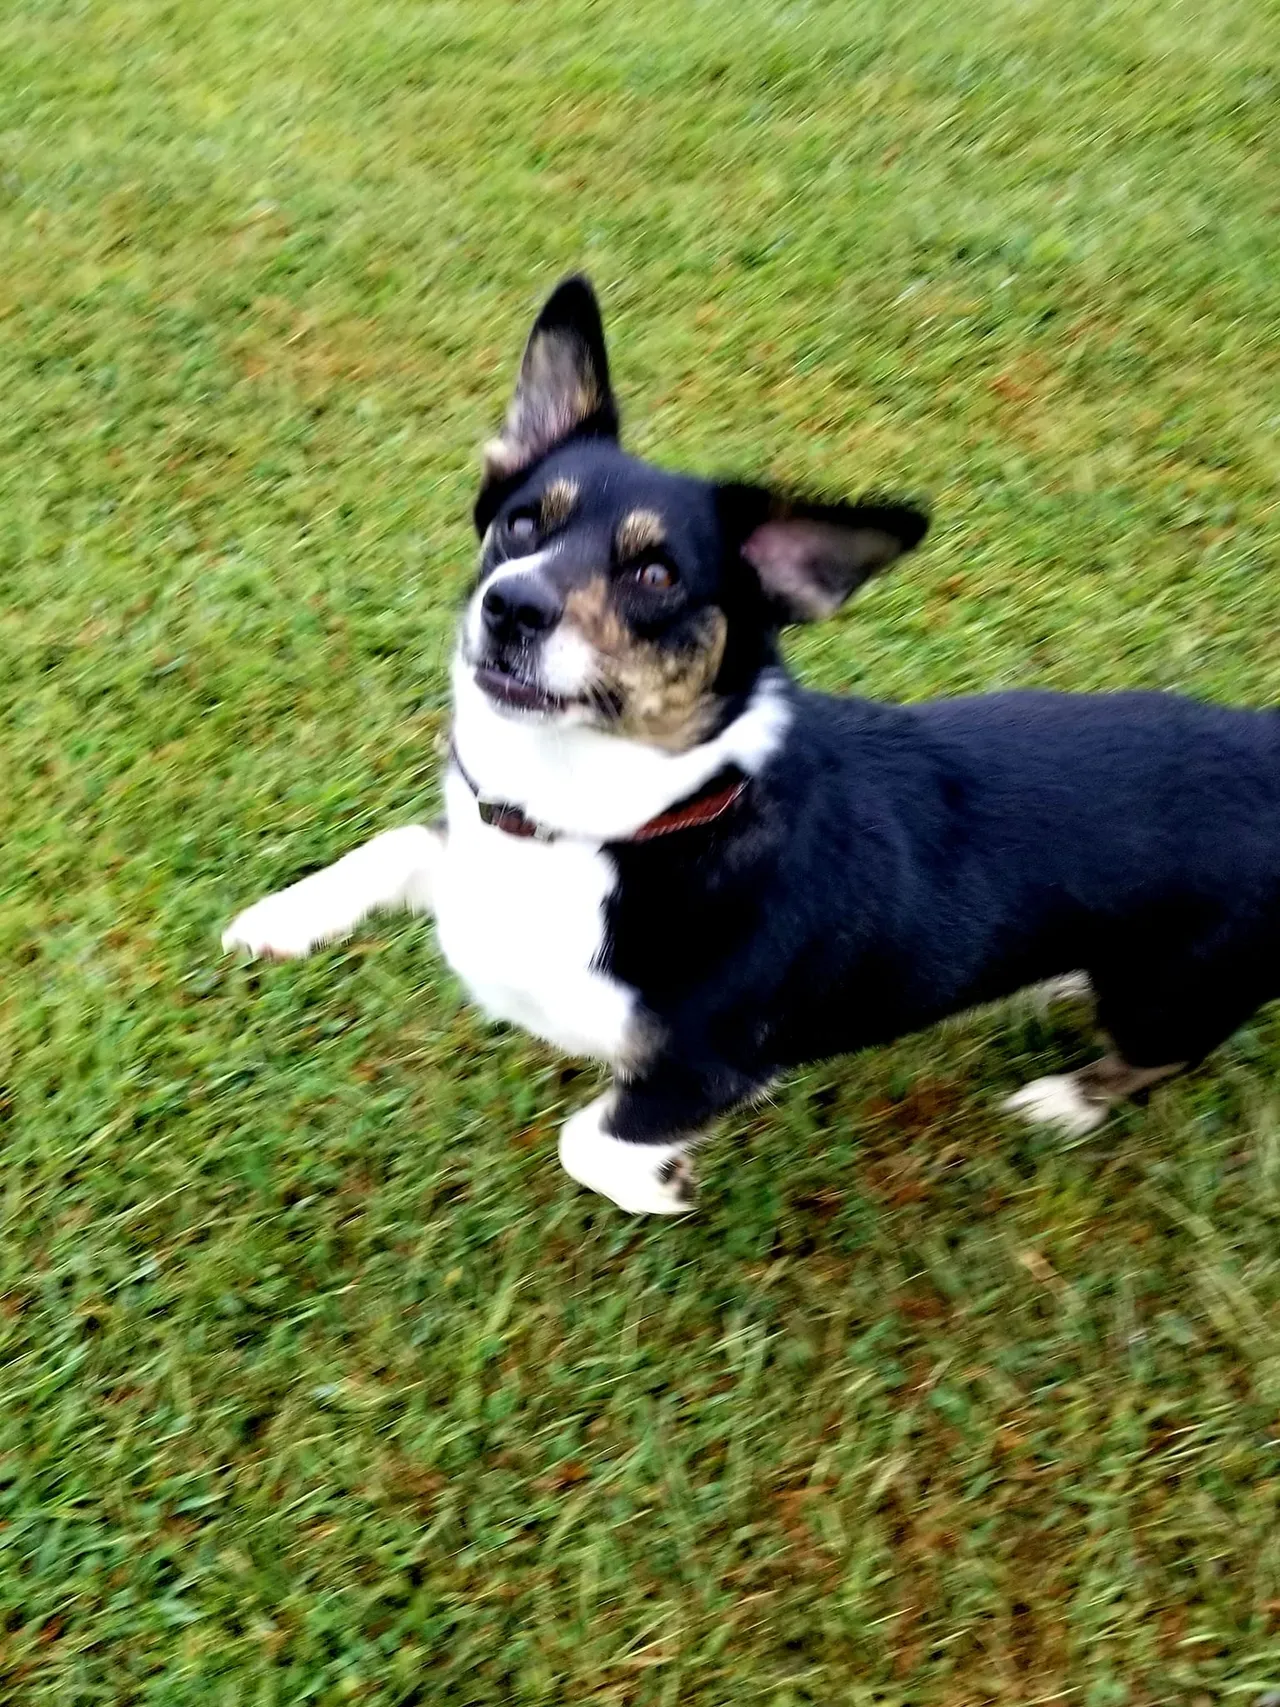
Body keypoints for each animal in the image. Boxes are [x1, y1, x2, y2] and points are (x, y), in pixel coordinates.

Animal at [225, 276, 1280, 1215]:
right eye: (522, 522)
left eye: (656, 573)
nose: (510, 605)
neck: (600, 826)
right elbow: (402, 842)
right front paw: (279, 918)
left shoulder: (713, 1063)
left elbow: (589, 1138)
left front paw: (660, 1186)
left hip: (1173, 991)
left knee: (1155, 1057)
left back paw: (1064, 1101)